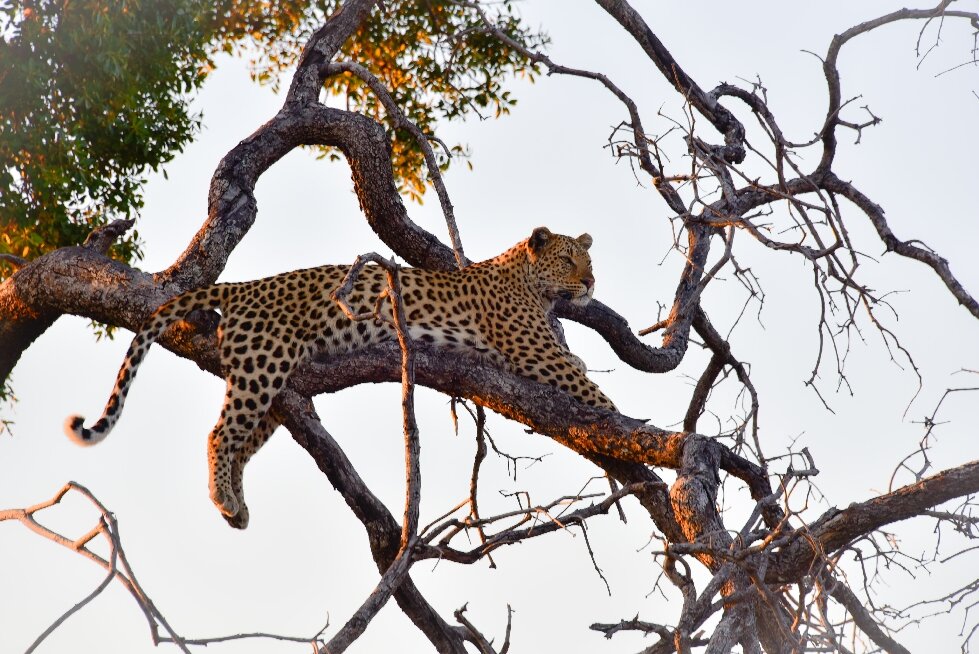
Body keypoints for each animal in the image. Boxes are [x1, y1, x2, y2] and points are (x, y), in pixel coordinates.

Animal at [65, 227, 616, 528]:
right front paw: (626, 431)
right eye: (569, 259)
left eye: (590, 259)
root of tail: (244, 286)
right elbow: (596, 394)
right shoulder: (534, 354)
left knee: (241, 441)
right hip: (261, 365)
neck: (533, 285)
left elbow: (581, 371)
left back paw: (236, 507)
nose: (591, 281)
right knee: (219, 433)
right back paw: (224, 498)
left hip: (275, 381)